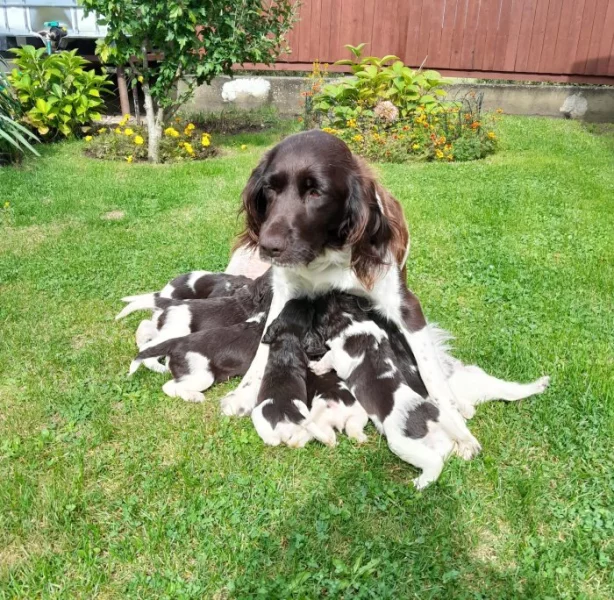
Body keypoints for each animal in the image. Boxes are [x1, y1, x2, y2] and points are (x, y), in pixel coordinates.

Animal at [223, 127, 482, 454]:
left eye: (316, 192)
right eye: (270, 188)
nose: (269, 246)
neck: (324, 253)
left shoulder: (405, 305)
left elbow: (431, 372)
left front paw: (458, 430)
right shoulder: (284, 292)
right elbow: (262, 349)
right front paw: (244, 393)